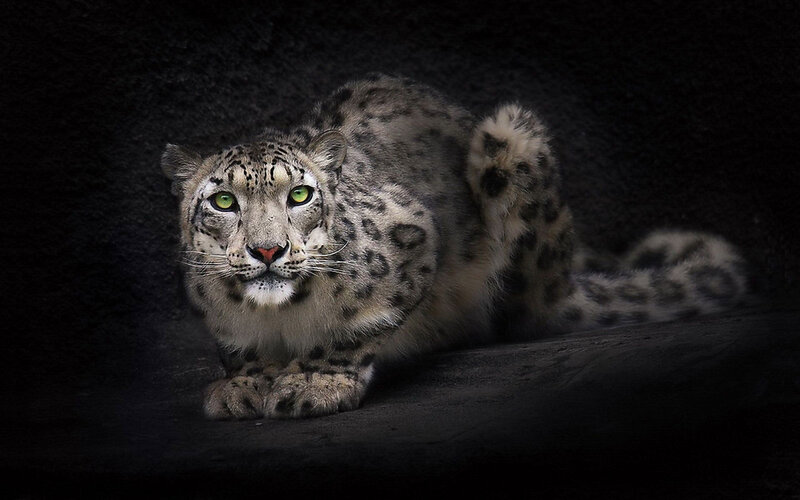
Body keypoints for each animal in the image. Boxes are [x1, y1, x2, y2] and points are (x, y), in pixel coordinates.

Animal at [161, 73, 748, 419]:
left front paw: (313, 381)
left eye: (300, 194)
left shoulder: (412, 236)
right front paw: (244, 385)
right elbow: (238, 347)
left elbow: (358, 328)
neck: (279, 318)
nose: (268, 251)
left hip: (511, 142)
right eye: (223, 201)